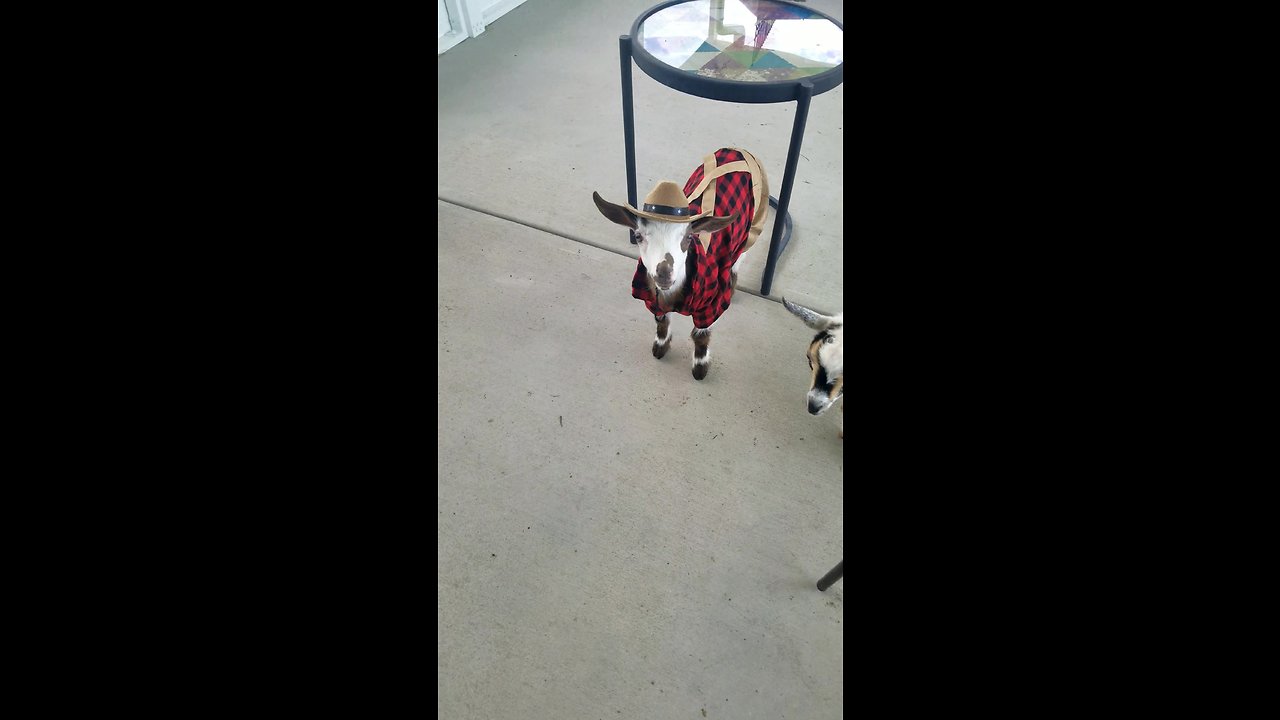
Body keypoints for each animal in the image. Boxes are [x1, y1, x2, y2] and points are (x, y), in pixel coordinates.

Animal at [591, 147, 762, 381]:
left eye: (689, 237)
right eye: (638, 236)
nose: (664, 272)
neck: (672, 294)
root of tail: (737, 149)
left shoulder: (710, 306)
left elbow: (701, 335)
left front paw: (700, 368)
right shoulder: (652, 298)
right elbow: (661, 322)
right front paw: (660, 348)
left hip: (751, 229)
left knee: (738, 261)